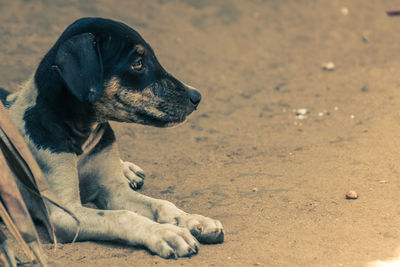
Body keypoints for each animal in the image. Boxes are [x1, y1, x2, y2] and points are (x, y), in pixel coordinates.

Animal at [0, 17, 223, 260]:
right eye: (137, 63)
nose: (197, 97)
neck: (82, 138)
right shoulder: (66, 213)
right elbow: (124, 216)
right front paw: (166, 233)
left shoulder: (116, 191)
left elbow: (162, 205)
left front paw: (195, 220)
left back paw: (127, 169)